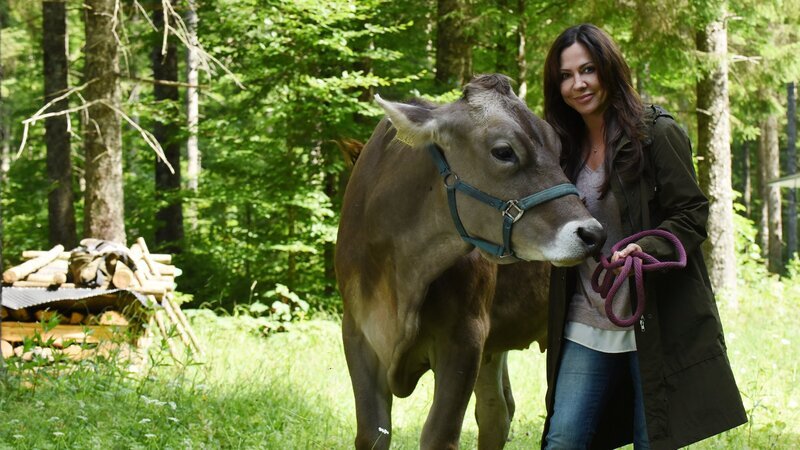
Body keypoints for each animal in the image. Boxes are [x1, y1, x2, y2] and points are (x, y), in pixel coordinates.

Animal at [335, 74, 605, 450]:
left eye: (558, 148)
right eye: (503, 151)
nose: (592, 233)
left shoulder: (466, 335)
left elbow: (439, 435)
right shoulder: (357, 331)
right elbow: (371, 433)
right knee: (498, 410)